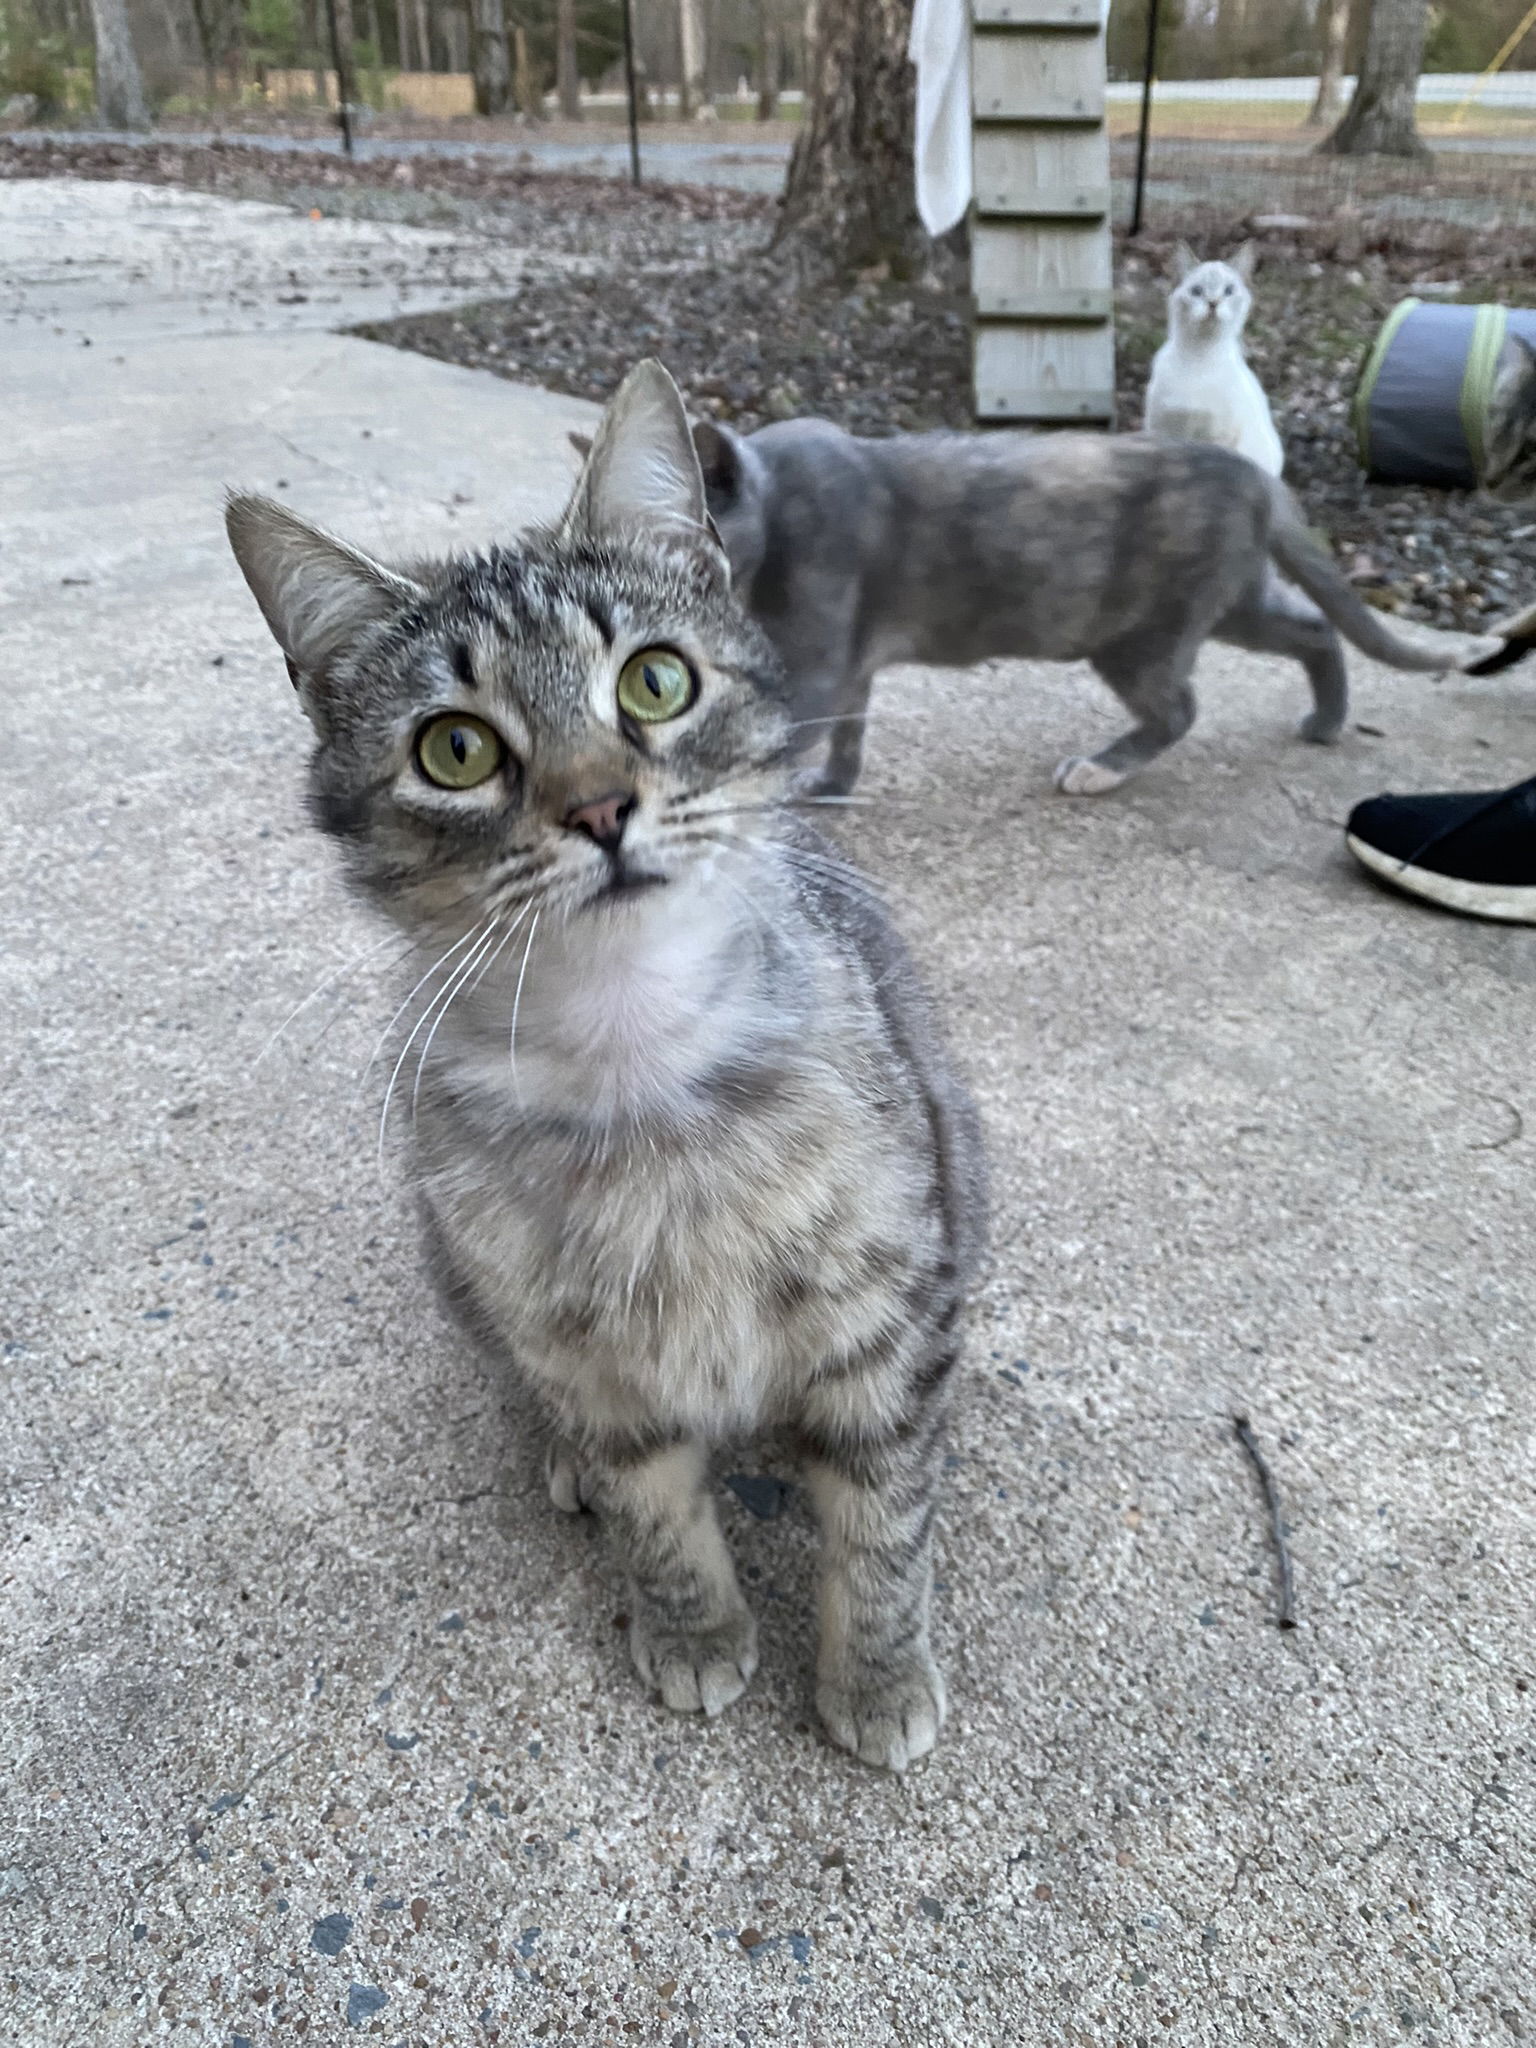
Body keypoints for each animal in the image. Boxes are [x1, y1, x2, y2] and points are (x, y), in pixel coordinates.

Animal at [225, 360, 987, 1769]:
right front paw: (692, 1628)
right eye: (455, 748)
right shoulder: (586, 1356)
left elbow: (882, 1523)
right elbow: (657, 1511)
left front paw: (877, 1673)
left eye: (654, 683)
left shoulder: (883, 1315)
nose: (597, 807)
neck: (638, 1066)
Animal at [692, 415, 1474, 798]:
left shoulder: (819, 655)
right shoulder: (849, 663)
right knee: (1312, 628)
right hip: (1232, 603)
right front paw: (830, 786)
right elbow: (847, 730)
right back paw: (1327, 722)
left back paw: (1100, 769)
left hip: (1140, 633)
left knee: (1180, 708)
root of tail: (1255, 476)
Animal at [1146, 241, 1286, 477]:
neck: (1199, 355)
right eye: (1197, 291)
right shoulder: (1162, 430)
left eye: (1229, 291)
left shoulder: (1218, 438)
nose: (1213, 303)